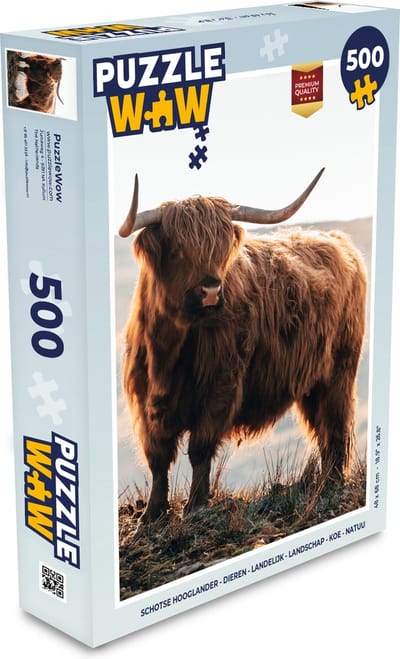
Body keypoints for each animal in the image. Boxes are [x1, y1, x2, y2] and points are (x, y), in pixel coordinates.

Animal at [119, 169, 367, 524]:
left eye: (220, 250)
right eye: (178, 250)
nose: (211, 291)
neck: (169, 351)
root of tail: (337, 239)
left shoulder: (221, 387)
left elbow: (199, 449)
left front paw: (196, 506)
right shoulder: (146, 402)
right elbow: (158, 457)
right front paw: (152, 514)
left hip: (339, 372)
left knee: (334, 426)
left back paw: (331, 483)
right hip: (313, 382)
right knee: (322, 429)